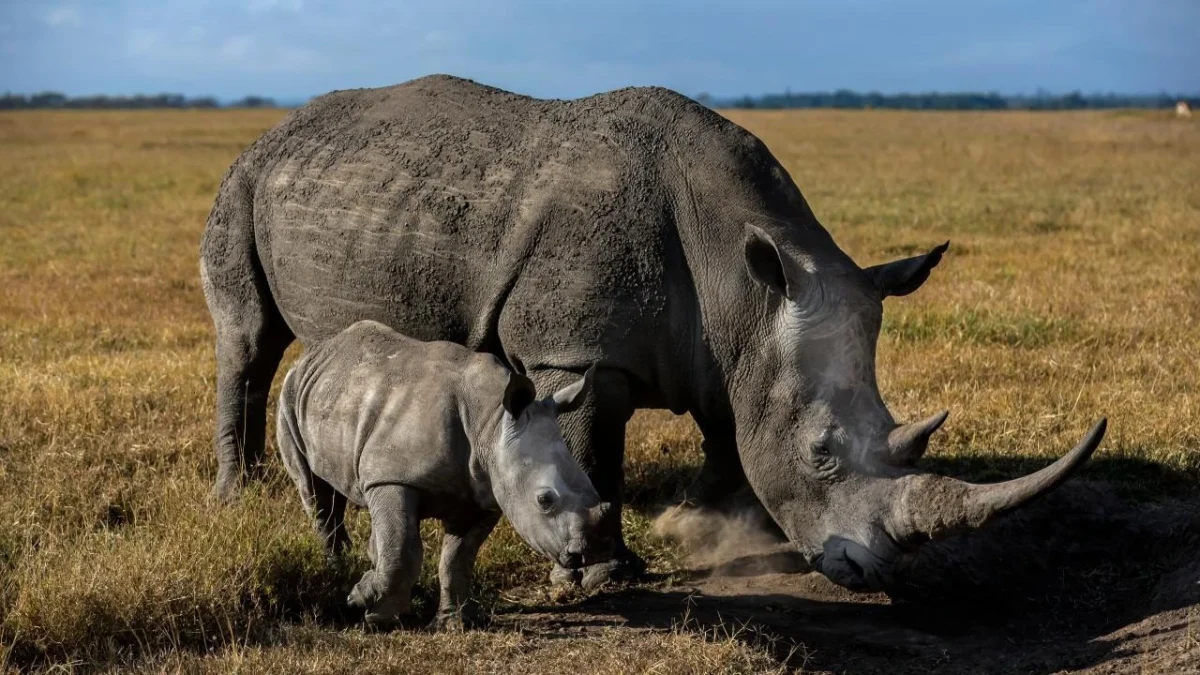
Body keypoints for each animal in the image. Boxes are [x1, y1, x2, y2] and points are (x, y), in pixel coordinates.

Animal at [201, 74, 1107, 591]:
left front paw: (702, 527)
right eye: (821, 452)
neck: (741, 278)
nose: (871, 570)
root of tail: (277, 128)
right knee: (248, 339)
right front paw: (605, 574)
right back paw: (237, 495)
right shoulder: (573, 352)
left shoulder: (727, 344)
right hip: (239, 181)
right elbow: (592, 449)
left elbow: (728, 433)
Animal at [276, 319, 611, 627]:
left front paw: (454, 623)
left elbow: (457, 559)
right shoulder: (392, 477)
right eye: (544, 500)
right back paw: (340, 573)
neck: (491, 423)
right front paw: (369, 610)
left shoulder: (485, 493)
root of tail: (315, 352)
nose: (590, 550)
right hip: (290, 395)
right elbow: (403, 549)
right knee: (316, 493)